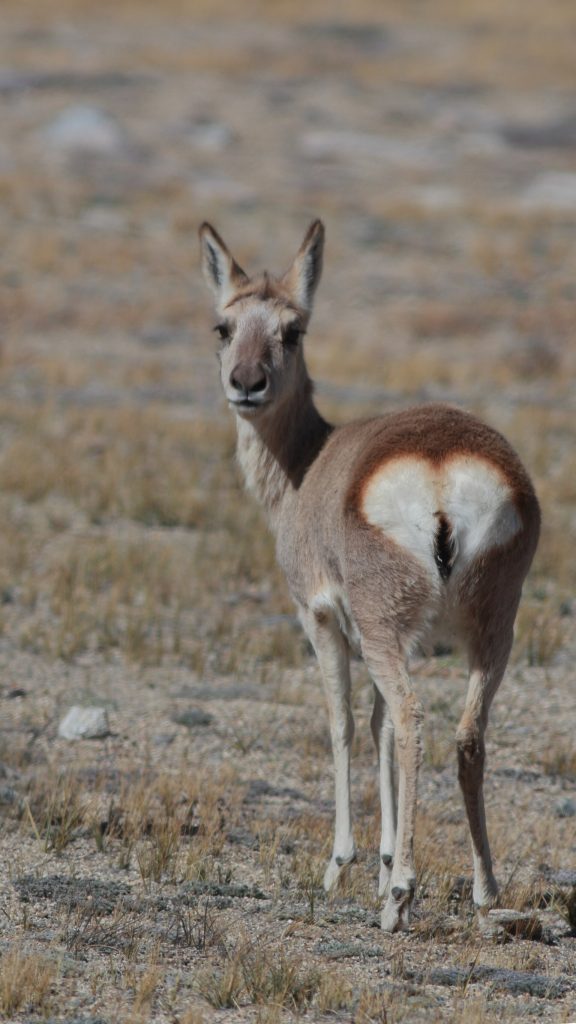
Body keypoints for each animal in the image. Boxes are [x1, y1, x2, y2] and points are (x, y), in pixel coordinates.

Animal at [199, 219, 540, 933]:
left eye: (293, 329)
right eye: (224, 325)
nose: (247, 383)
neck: (309, 464)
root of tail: (440, 460)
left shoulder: (322, 620)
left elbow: (347, 725)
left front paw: (344, 868)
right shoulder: (399, 640)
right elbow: (378, 729)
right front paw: (383, 864)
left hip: (390, 634)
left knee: (413, 720)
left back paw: (402, 898)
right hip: (491, 634)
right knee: (466, 735)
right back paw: (483, 889)